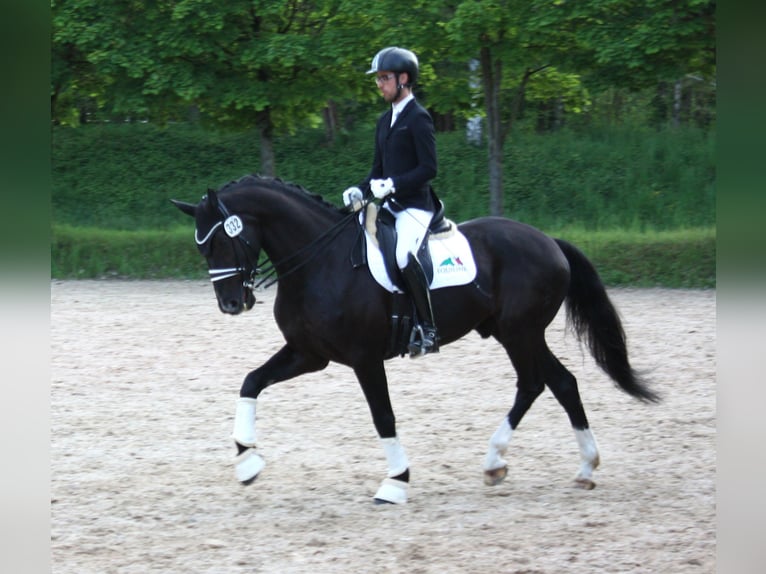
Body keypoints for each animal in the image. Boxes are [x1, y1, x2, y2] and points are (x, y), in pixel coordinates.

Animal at [171, 174, 656, 504]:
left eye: (222, 242)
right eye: (200, 247)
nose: (231, 304)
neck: (319, 262)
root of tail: (548, 241)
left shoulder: (365, 358)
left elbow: (383, 417)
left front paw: (396, 482)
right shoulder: (309, 354)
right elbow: (251, 381)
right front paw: (247, 461)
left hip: (522, 332)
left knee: (544, 383)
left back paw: (542, 462)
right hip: (512, 332)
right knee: (553, 383)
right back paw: (538, 465)